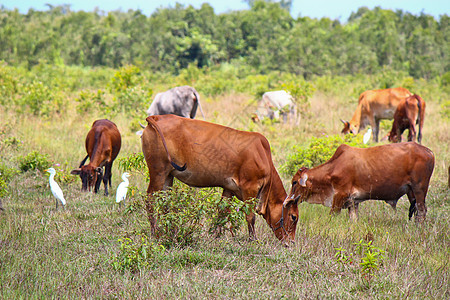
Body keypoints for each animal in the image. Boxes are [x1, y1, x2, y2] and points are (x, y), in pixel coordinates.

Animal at [141, 113, 298, 243]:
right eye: (293, 216)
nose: (290, 242)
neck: (263, 155)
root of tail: (155, 117)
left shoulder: (229, 189)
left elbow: (222, 213)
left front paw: (215, 236)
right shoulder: (250, 188)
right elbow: (250, 216)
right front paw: (253, 240)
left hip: (168, 175)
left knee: (164, 202)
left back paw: (171, 231)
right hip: (158, 172)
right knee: (150, 199)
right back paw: (155, 233)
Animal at [284, 143, 434, 223]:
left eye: (294, 182)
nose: (286, 202)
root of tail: (429, 151)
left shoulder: (339, 197)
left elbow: (332, 215)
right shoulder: (352, 202)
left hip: (419, 189)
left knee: (422, 210)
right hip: (411, 192)